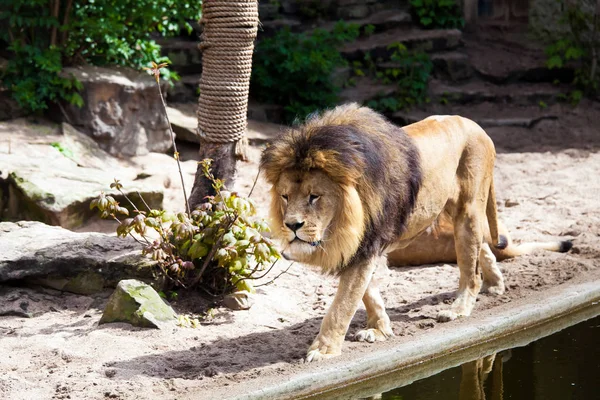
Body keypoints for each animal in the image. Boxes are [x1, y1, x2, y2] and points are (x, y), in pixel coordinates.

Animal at [262, 103, 572, 362]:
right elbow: (367, 292)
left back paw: (458, 309)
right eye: (286, 196)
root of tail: (474, 124)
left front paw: (323, 350)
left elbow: (343, 304)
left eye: (314, 196)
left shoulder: (367, 243)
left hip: (469, 210)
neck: (341, 223)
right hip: (453, 212)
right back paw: (495, 284)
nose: (292, 226)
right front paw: (380, 329)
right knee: (483, 249)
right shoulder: (365, 247)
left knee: (470, 272)